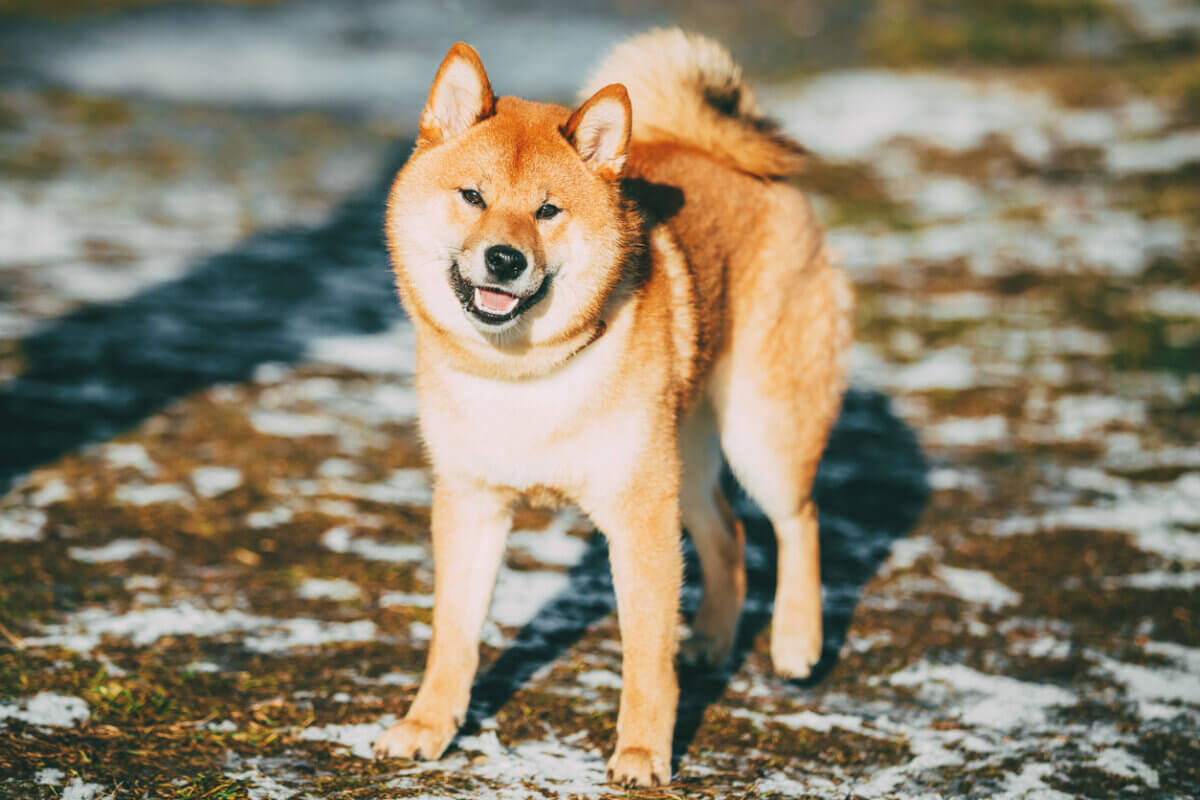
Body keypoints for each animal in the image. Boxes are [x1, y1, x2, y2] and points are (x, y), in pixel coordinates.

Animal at [374, 28, 854, 786]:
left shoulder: (638, 517)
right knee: (728, 533)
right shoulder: (472, 502)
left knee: (795, 519)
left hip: (760, 433)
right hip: (685, 458)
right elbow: (454, 633)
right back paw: (712, 640)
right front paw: (429, 726)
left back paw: (796, 642)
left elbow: (645, 656)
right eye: (473, 196)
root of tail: (728, 155)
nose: (505, 260)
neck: (521, 372)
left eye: (547, 210)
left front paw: (642, 752)